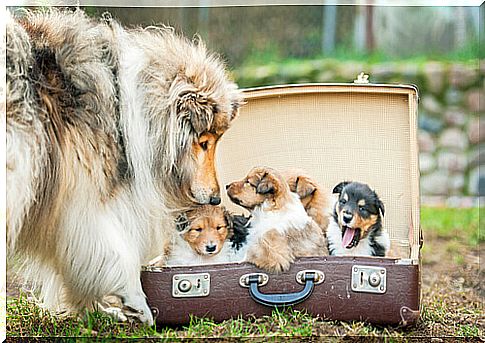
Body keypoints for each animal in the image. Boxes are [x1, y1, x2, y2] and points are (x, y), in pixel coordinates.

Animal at [5, 8, 242, 326]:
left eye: (216, 140)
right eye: (203, 142)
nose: (216, 198)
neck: (126, 106)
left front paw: (98, 310)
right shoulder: (82, 201)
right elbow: (115, 251)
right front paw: (137, 304)